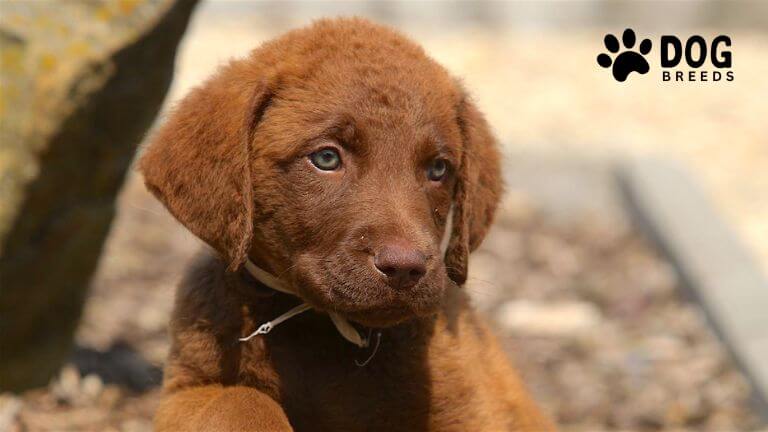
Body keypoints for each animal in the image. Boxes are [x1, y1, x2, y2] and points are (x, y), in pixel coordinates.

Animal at [140, 16, 552, 432]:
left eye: (439, 169)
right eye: (326, 158)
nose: (405, 268)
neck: (323, 331)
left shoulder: (473, 405)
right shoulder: (187, 388)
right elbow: (240, 401)